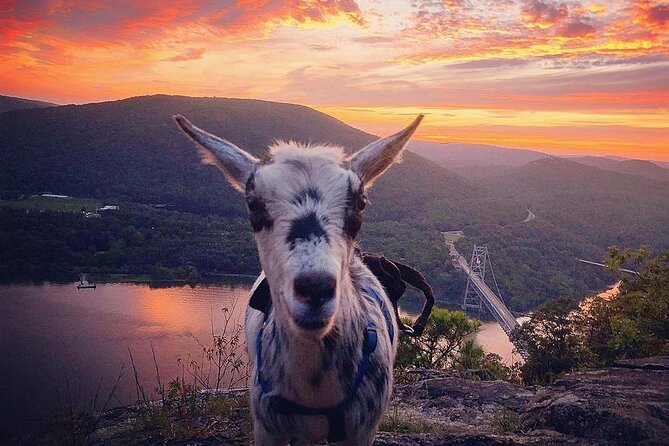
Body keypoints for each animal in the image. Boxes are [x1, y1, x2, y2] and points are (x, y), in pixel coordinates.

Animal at [174, 113, 422, 444]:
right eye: (253, 203)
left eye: (360, 203)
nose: (315, 288)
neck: (316, 395)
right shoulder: (266, 425)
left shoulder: (364, 429)